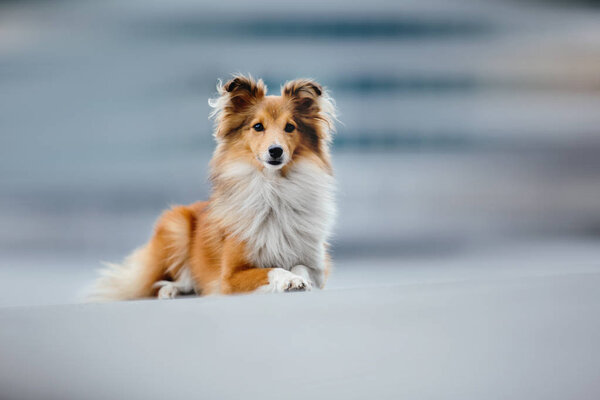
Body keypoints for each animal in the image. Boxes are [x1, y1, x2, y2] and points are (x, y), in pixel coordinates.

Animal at [91, 76, 340, 300]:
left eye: (290, 127)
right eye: (258, 126)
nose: (275, 151)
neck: (274, 188)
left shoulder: (317, 264)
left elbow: (301, 267)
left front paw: (299, 279)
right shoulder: (229, 277)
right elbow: (272, 269)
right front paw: (289, 279)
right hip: (175, 226)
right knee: (169, 280)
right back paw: (169, 290)